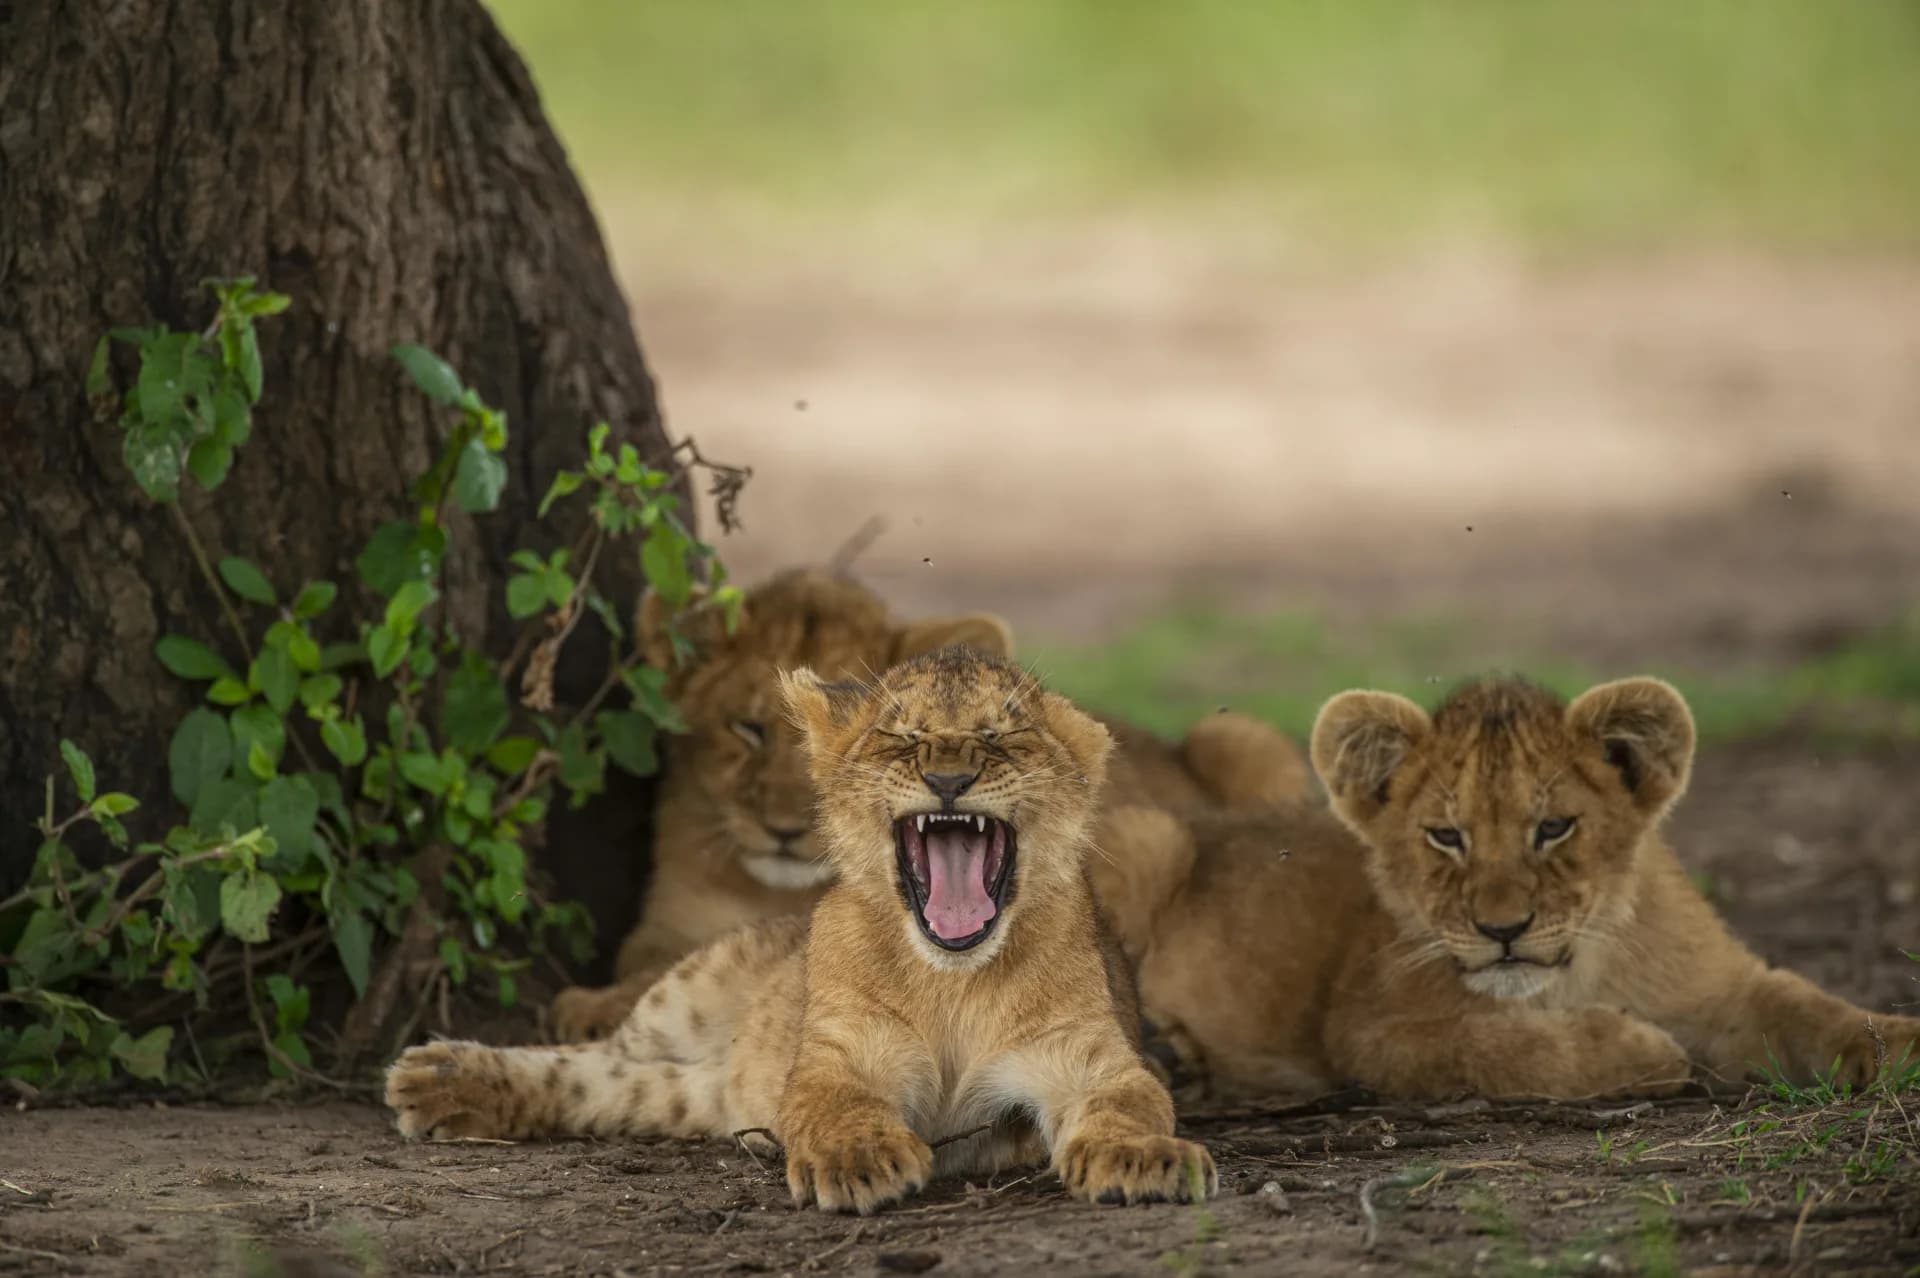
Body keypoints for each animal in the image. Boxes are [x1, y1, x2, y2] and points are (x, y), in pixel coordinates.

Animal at [388, 647, 1216, 1213]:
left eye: (998, 737)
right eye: (901, 737)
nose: (949, 779)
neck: (952, 981)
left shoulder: (1091, 1058)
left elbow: (1132, 1102)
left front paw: (1147, 1157)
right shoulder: (833, 1054)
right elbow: (833, 1102)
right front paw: (857, 1160)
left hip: (705, 1095)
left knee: (614, 1089)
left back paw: (440, 1086)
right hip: (687, 996)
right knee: (594, 1057)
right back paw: (439, 1073)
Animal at [550, 568, 1307, 1041]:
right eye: (748, 728)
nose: (786, 831)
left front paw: (588, 1008)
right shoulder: (666, 922)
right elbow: (653, 963)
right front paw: (593, 1004)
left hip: (1242, 739)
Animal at [1094, 675, 1920, 1101]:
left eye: (1553, 828)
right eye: (1445, 836)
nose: (1503, 930)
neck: (1584, 965)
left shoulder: (1723, 988)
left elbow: (1814, 1008)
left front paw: (1902, 1042)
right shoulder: (1370, 1029)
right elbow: (1507, 1047)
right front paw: (1641, 1047)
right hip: (1146, 836)